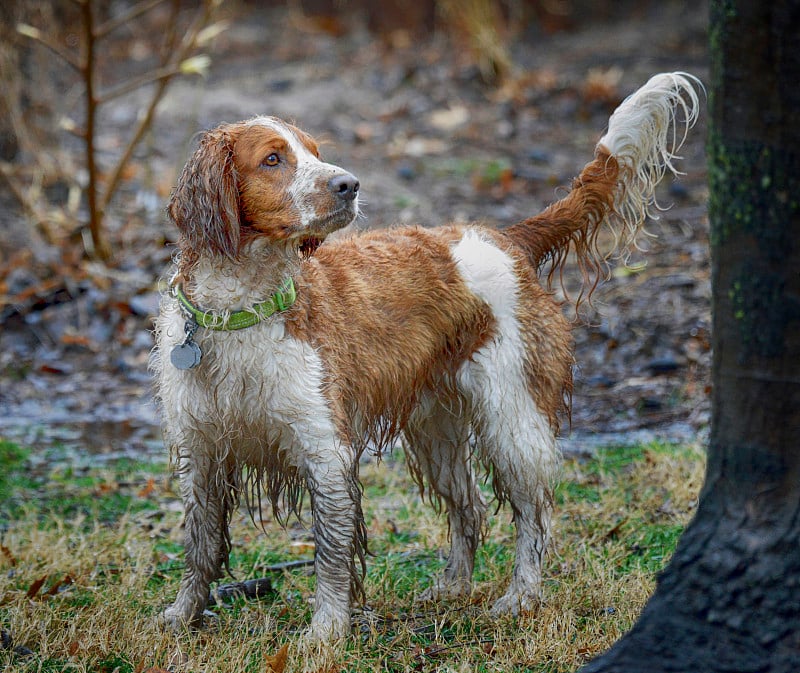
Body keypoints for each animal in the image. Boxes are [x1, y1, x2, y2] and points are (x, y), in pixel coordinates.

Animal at [152, 71, 700, 636]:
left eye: (315, 153)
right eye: (272, 159)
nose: (349, 185)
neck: (243, 310)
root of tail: (505, 237)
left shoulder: (325, 449)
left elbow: (330, 554)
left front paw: (326, 632)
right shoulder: (200, 450)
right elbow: (199, 544)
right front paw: (182, 614)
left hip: (513, 420)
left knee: (535, 514)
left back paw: (521, 597)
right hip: (436, 431)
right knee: (470, 507)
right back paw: (454, 586)